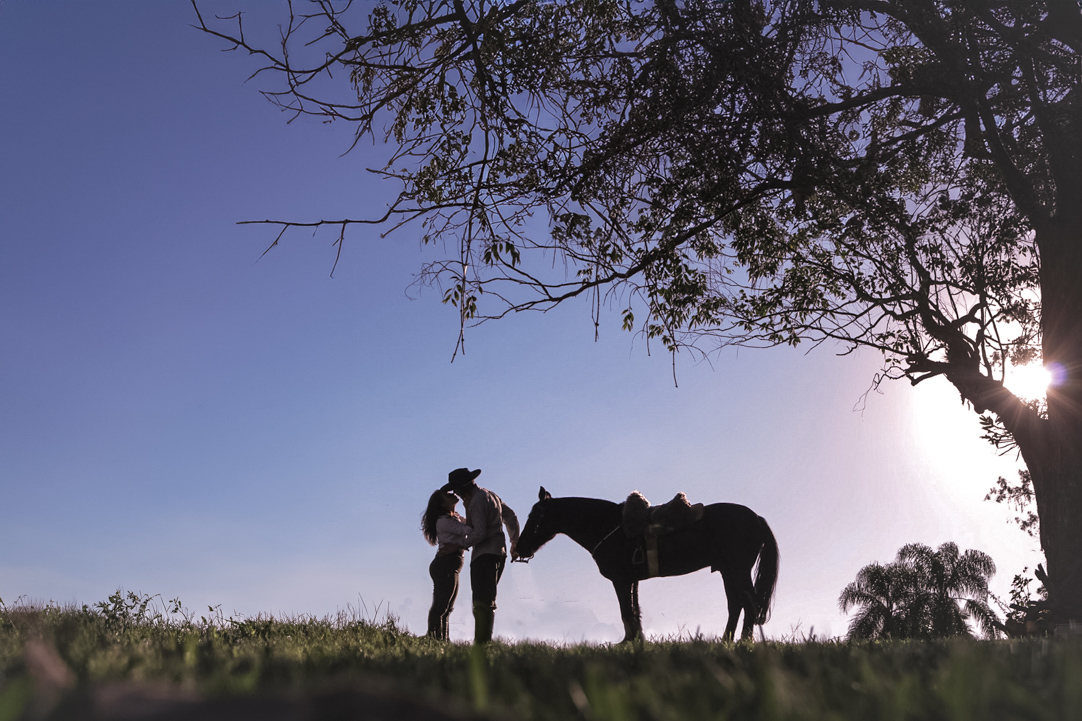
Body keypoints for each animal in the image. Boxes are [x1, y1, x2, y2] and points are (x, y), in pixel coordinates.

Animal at [512, 487, 779, 642]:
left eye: (535, 516)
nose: (519, 549)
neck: (610, 526)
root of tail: (757, 518)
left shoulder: (621, 580)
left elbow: (626, 610)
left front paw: (628, 642)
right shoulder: (633, 581)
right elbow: (634, 609)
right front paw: (636, 641)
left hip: (738, 570)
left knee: (748, 603)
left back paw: (743, 642)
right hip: (727, 571)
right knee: (736, 604)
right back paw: (726, 640)